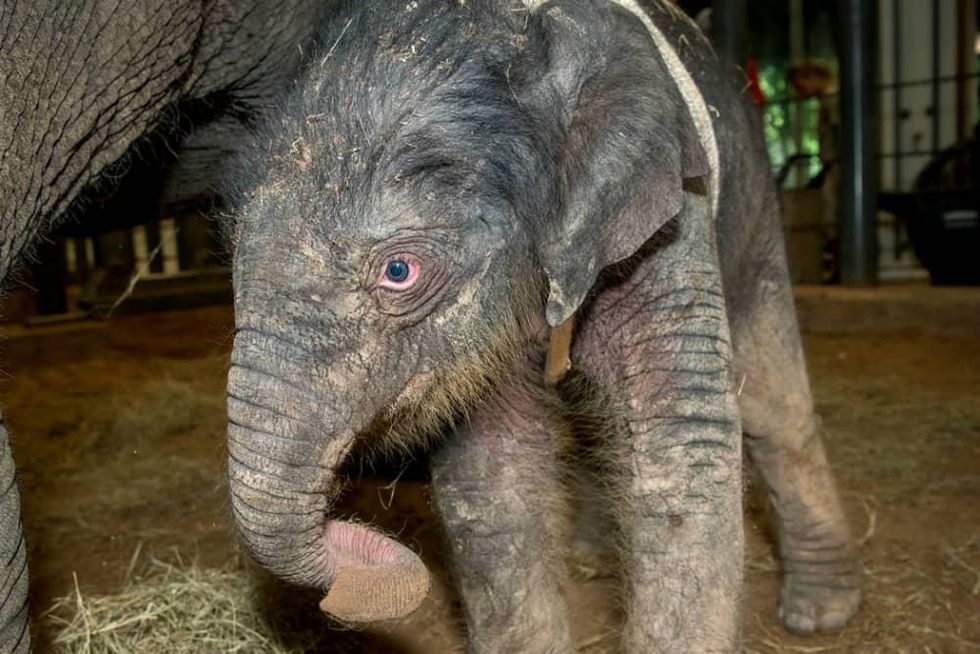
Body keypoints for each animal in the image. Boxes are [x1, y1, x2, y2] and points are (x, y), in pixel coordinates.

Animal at [224, 0, 861, 651]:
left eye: (399, 271)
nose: (357, 588)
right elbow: (491, 477)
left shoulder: (667, 221)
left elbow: (684, 449)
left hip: (756, 214)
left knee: (773, 404)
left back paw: (819, 613)